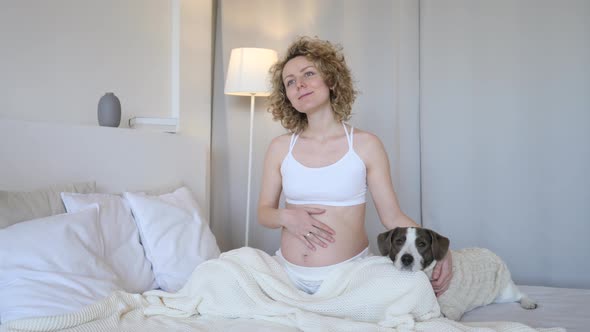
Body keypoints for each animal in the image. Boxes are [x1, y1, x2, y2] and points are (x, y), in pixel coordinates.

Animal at [376, 227, 540, 320]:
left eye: (422, 244)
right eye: (398, 241)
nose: (406, 259)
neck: (428, 274)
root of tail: (492, 253)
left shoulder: (452, 311)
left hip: (503, 293)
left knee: (520, 294)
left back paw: (528, 302)